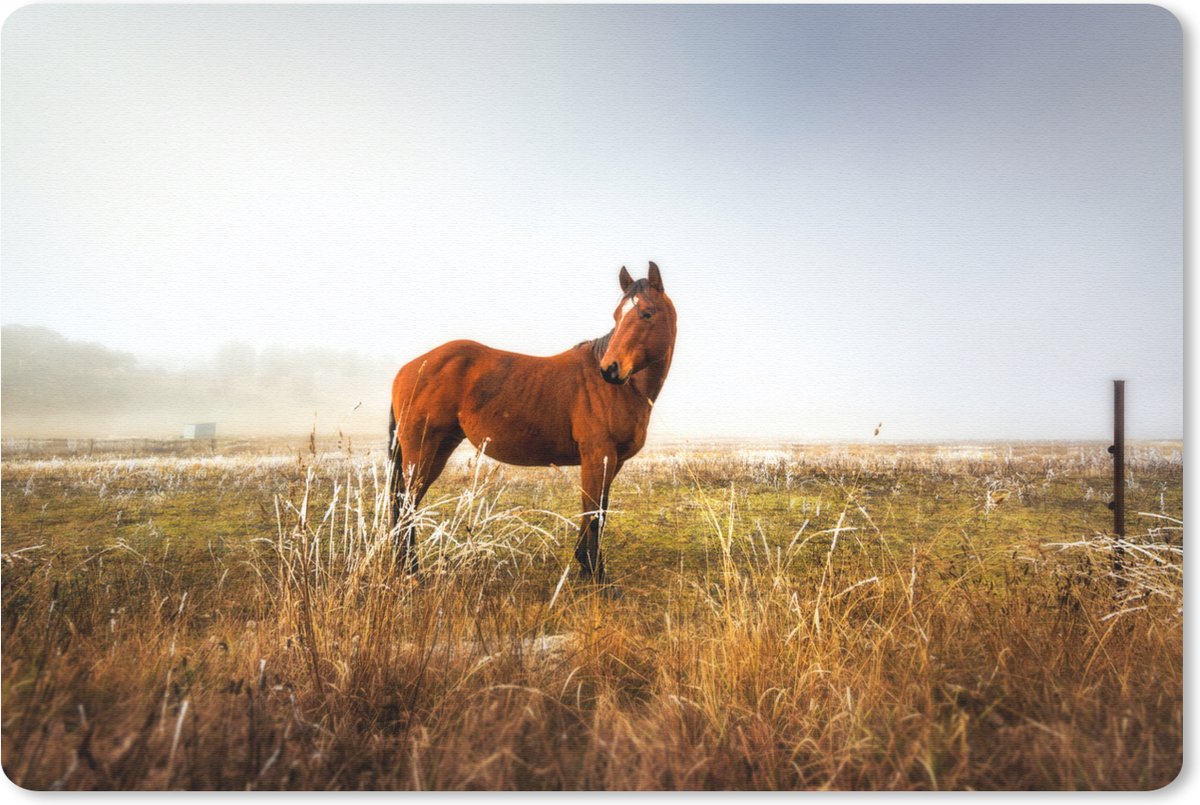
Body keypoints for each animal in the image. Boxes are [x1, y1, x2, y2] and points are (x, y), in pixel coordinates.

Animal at [387, 262, 677, 582]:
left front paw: (585, 566)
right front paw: (596, 575)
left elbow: (595, 510)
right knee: (407, 504)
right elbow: (594, 514)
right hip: (421, 450)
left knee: (406, 503)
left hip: (438, 450)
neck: (626, 389)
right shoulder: (598, 456)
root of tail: (409, 369)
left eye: (647, 313)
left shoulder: (612, 461)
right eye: (617, 315)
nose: (610, 370)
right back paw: (411, 571)